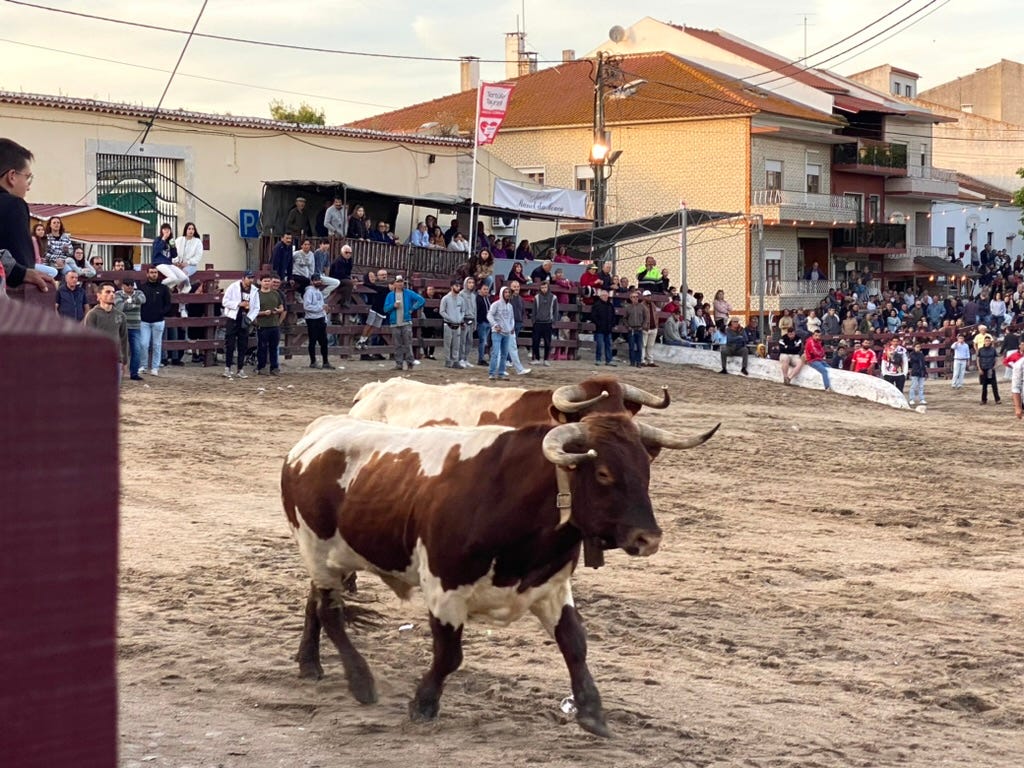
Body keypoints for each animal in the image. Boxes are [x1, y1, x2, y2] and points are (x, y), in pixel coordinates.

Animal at [280, 411, 712, 737]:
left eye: (646, 470)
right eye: (603, 473)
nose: (648, 538)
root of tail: (316, 435)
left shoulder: (550, 587)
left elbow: (575, 644)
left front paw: (592, 711)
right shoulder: (445, 589)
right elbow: (449, 656)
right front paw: (424, 702)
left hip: (326, 562)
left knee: (314, 604)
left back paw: (309, 663)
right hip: (318, 552)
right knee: (330, 612)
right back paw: (360, 680)